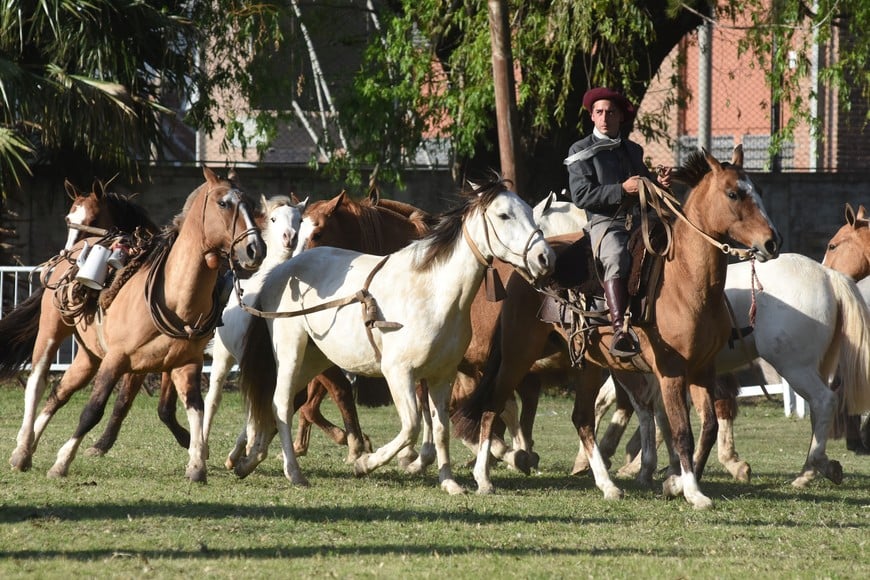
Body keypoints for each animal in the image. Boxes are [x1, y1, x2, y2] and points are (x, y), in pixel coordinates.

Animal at [2, 167, 266, 480]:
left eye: (251, 204)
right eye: (223, 203)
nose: (255, 249)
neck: (175, 296)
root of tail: (71, 255)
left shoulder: (186, 363)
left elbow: (195, 408)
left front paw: (197, 461)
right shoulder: (118, 359)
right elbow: (93, 409)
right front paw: (63, 460)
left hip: (89, 357)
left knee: (60, 392)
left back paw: (29, 446)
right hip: (52, 330)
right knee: (37, 382)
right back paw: (22, 448)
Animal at [201, 195, 306, 454]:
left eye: (299, 219)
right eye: (273, 218)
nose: (290, 237)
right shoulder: (249, 362)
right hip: (223, 357)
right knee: (213, 399)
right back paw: (204, 447)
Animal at [235, 178, 556, 494]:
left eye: (529, 212)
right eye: (504, 215)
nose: (545, 257)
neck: (434, 292)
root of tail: (282, 272)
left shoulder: (443, 375)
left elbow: (441, 428)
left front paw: (449, 481)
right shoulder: (399, 373)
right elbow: (412, 426)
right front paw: (365, 462)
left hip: (315, 359)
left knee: (281, 403)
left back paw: (249, 460)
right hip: (291, 353)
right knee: (281, 402)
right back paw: (293, 471)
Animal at [456, 147, 784, 510]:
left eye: (757, 190)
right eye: (733, 194)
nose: (772, 242)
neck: (686, 280)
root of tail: (525, 271)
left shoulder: (702, 369)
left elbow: (708, 427)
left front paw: (676, 482)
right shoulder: (671, 372)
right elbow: (681, 430)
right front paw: (692, 491)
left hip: (588, 365)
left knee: (582, 419)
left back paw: (607, 484)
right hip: (518, 355)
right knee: (492, 406)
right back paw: (484, 478)